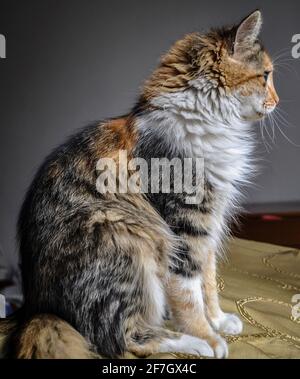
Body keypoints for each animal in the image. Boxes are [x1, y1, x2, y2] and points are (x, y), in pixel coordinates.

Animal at [0, 8, 278, 360]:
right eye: (265, 76)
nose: (277, 100)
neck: (211, 122)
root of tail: (36, 307)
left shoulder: (208, 226)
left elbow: (209, 280)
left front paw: (218, 320)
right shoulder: (185, 225)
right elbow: (189, 294)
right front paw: (208, 335)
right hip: (125, 239)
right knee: (125, 339)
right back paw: (196, 343)